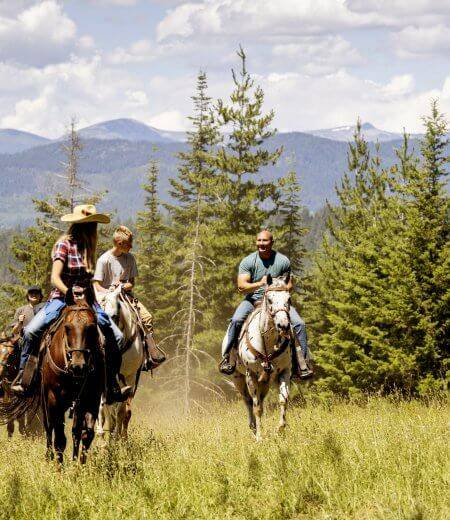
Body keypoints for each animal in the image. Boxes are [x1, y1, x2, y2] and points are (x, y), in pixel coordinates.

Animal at [42, 300, 103, 464]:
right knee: (49, 428)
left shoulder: (91, 399)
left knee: (76, 431)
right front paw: (59, 468)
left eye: (91, 327)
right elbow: (60, 439)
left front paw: (80, 466)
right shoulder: (54, 399)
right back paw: (49, 457)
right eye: (67, 327)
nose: (78, 366)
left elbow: (86, 434)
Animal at [96, 286, 144, 440]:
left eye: (115, 316)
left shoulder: (129, 377)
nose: (102, 343)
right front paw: (102, 436)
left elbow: (121, 411)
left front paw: (117, 438)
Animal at [223, 274, 294, 440]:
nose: (283, 325)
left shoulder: (285, 371)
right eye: (270, 299)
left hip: (265, 382)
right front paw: (259, 438)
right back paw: (253, 427)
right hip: (237, 378)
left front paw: (279, 430)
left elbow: (283, 400)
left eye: (288, 299)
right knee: (248, 401)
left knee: (260, 400)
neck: (267, 342)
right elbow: (256, 408)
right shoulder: (251, 375)